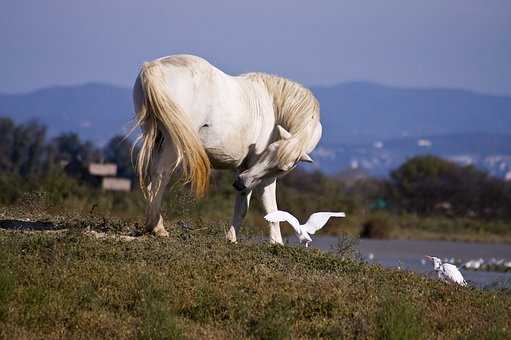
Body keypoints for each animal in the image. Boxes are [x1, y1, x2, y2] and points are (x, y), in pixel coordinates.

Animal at [134, 54, 322, 243]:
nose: (239, 182)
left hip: (156, 137)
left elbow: (242, 206)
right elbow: (271, 208)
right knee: (161, 174)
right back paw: (158, 228)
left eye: (282, 167)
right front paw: (276, 242)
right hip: (174, 143)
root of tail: (153, 67)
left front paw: (231, 238)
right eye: (269, 152)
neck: (274, 106)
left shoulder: (246, 170)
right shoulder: (262, 175)